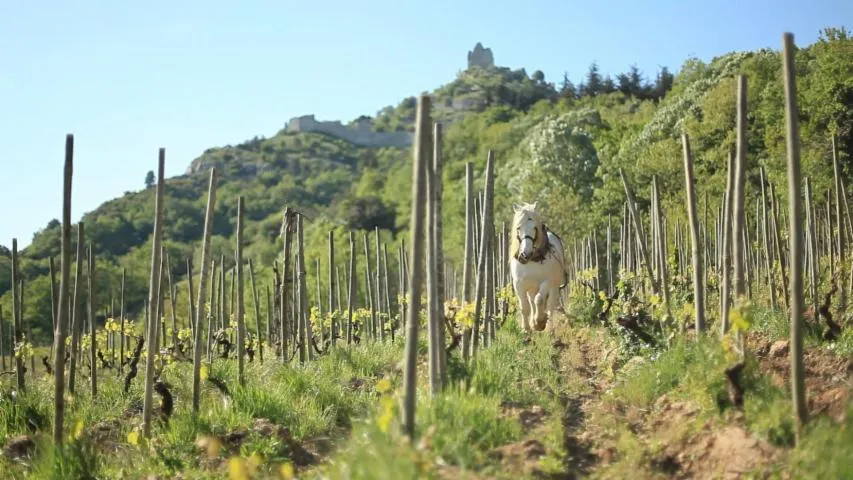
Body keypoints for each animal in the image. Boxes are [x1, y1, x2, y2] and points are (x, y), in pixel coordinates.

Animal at [506, 201, 564, 332]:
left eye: (534, 228)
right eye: (518, 227)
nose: (525, 254)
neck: (532, 259)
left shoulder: (546, 282)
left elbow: (539, 300)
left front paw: (540, 322)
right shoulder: (518, 284)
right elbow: (524, 306)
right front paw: (527, 328)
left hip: (554, 286)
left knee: (549, 305)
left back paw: (549, 327)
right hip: (531, 286)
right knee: (532, 301)